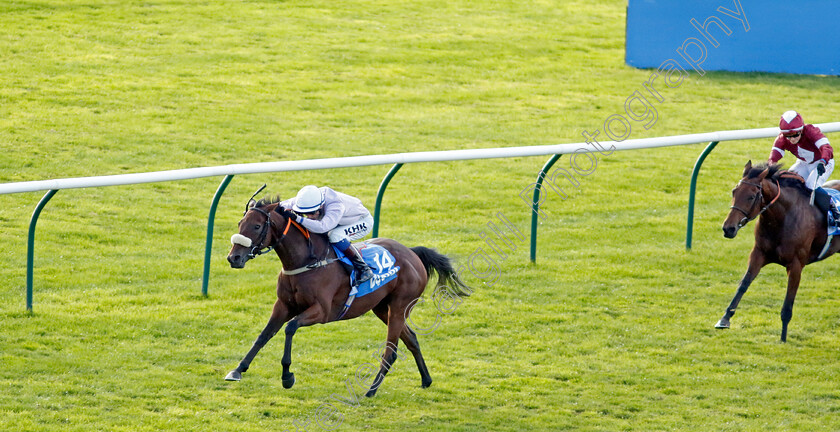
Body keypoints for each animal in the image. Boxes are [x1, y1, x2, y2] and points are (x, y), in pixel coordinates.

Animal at [223, 194, 472, 396]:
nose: (233, 258)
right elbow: (263, 335)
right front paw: (237, 370)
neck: (307, 261)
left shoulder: (322, 312)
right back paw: (426, 379)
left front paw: (287, 376)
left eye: (256, 226)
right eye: (240, 223)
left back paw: (371, 391)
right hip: (382, 308)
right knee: (411, 338)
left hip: (400, 307)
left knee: (391, 351)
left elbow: (290, 328)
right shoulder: (283, 305)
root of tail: (412, 253)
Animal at [716, 160, 840, 342]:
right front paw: (725, 318)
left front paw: (783, 337)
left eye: (751, 196)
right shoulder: (758, 253)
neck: (782, 218)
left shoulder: (796, 265)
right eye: (734, 191)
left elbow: (788, 302)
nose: (728, 228)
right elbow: (743, 284)